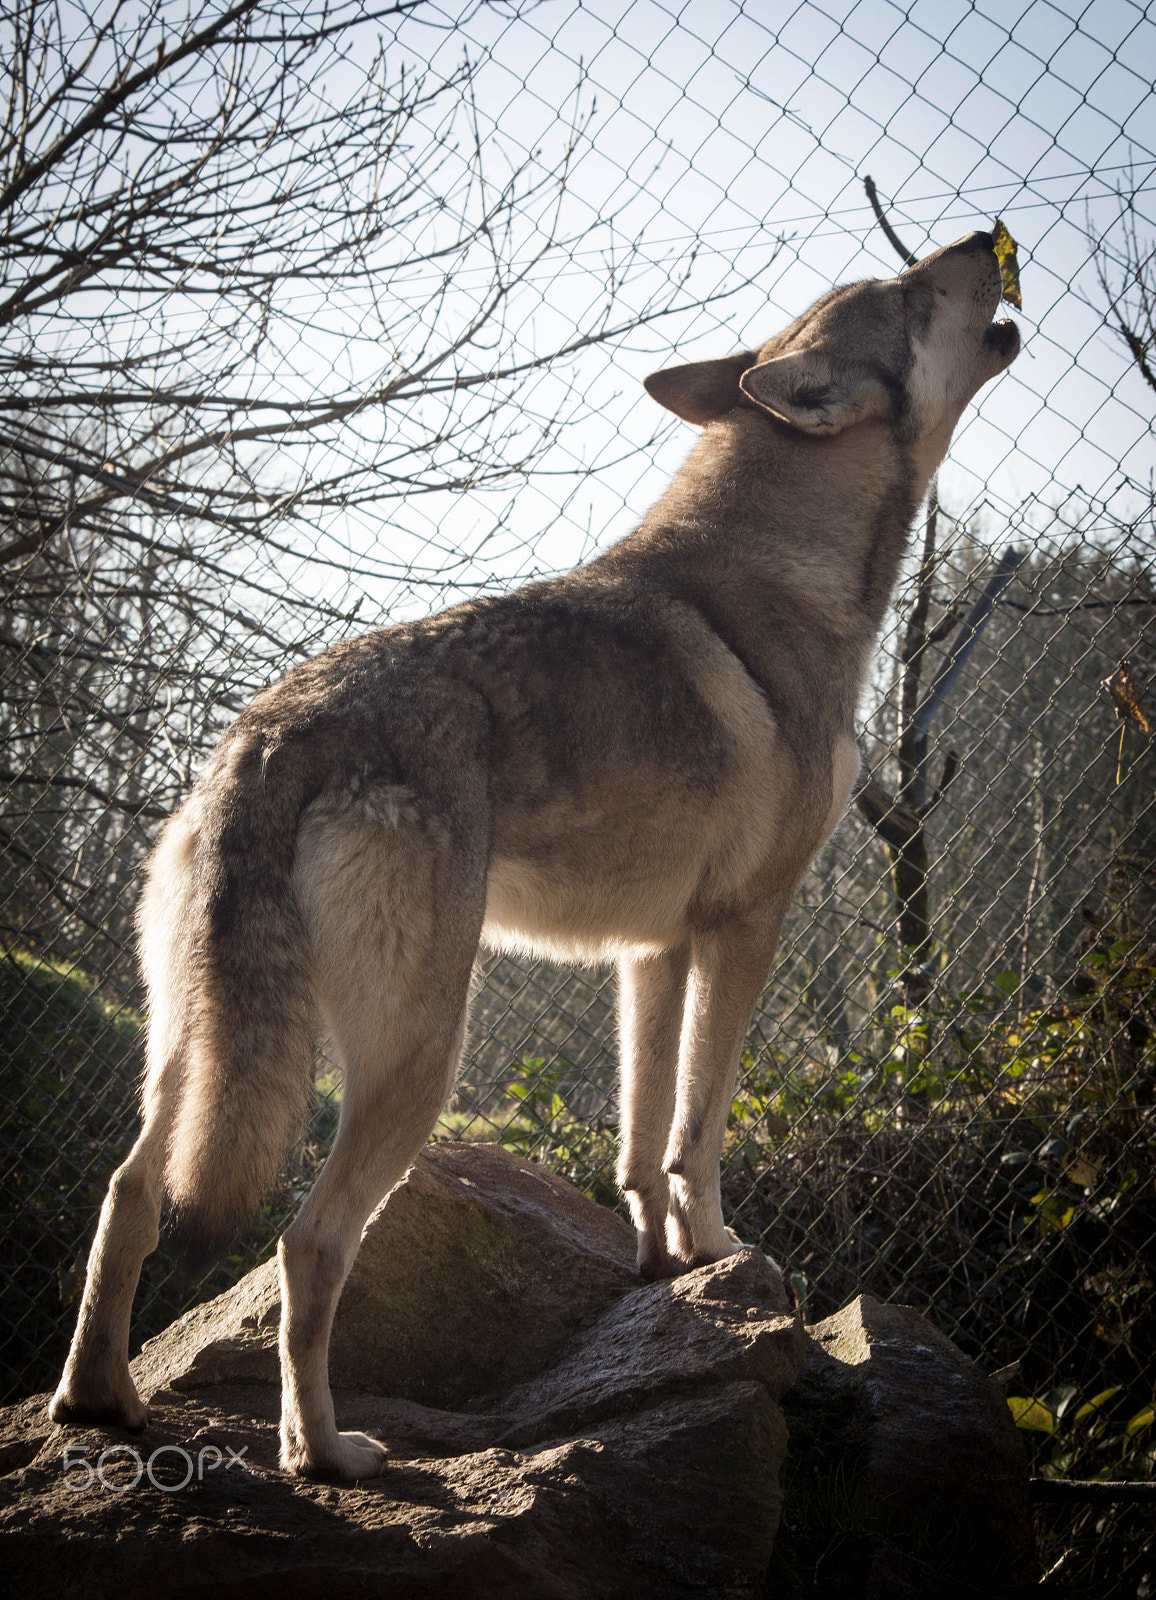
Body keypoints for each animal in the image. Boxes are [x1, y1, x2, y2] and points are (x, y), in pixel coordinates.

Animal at [50, 231, 1019, 1479]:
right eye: (913, 291)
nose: (982, 237)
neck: (790, 569)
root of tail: (270, 733)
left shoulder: (651, 953)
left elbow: (641, 1142)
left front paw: (665, 1270)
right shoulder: (745, 926)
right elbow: (700, 1131)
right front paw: (724, 1251)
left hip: (190, 1045)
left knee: (128, 1195)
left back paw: (98, 1404)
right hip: (418, 1060)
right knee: (307, 1244)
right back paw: (325, 1452)